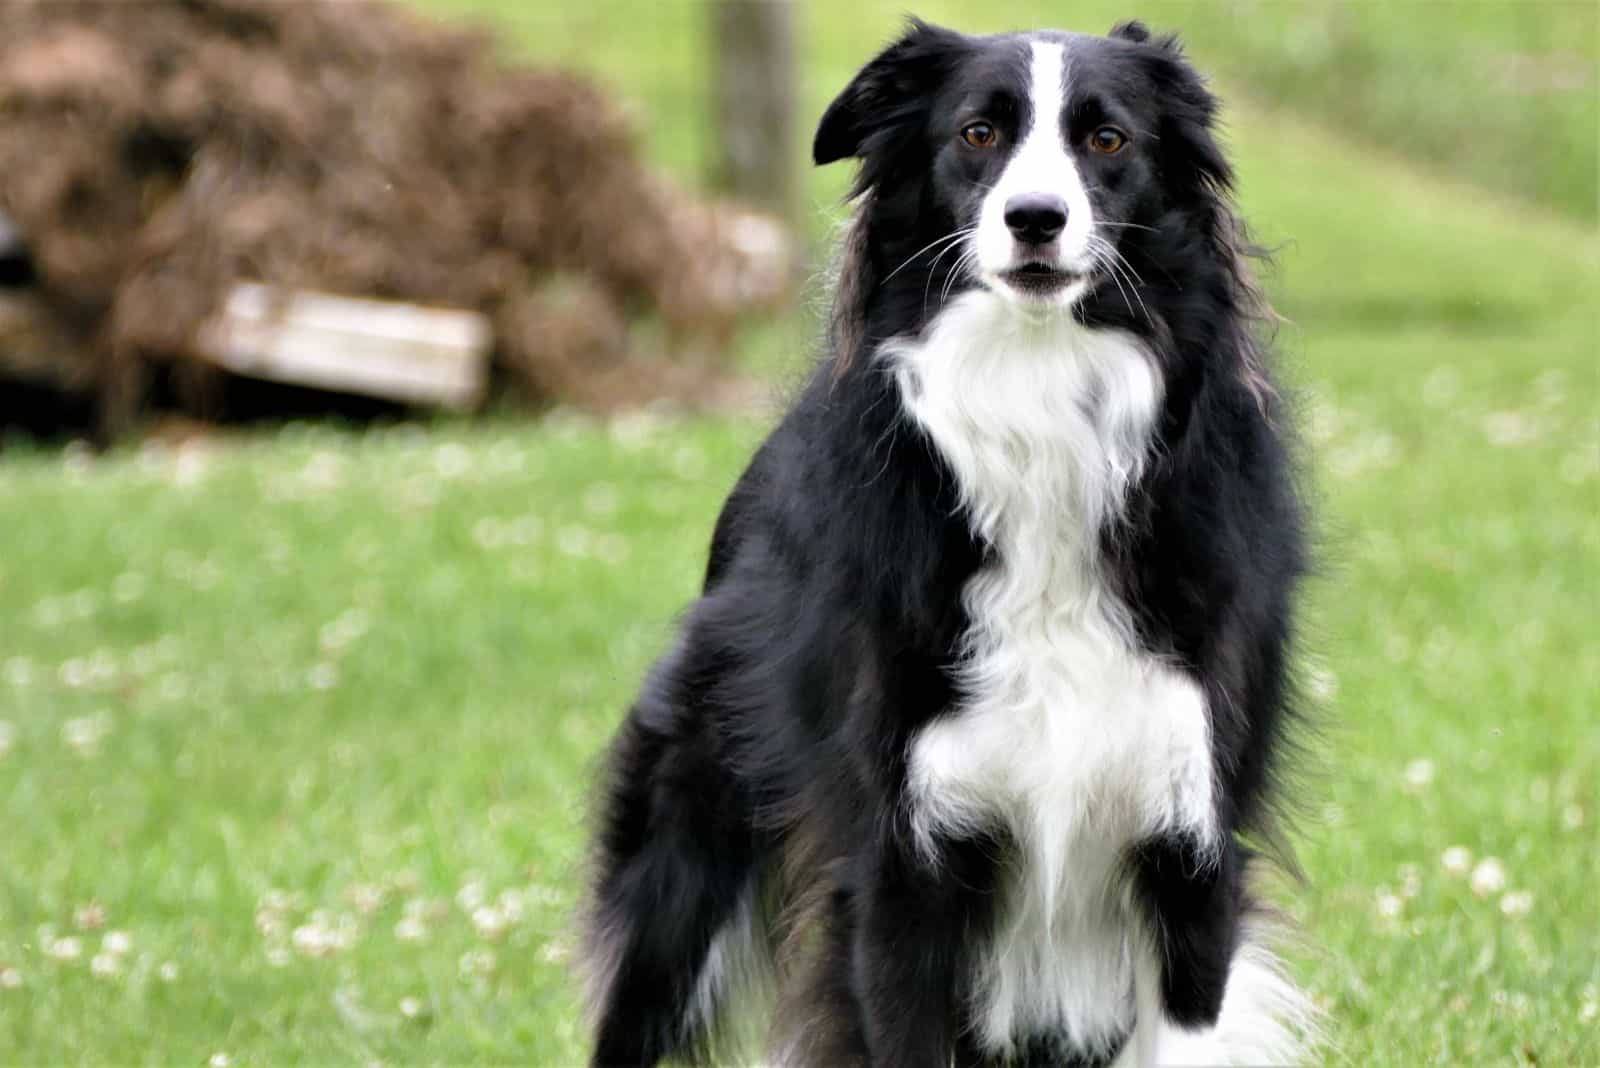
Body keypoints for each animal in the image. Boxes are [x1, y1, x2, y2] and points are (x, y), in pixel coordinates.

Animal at [582, 18, 1318, 1068]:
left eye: (1109, 140)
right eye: (978, 133)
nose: (1036, 219)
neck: (1037, 393)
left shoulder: (1191, 852)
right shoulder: (903, 870)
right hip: (683, 860)